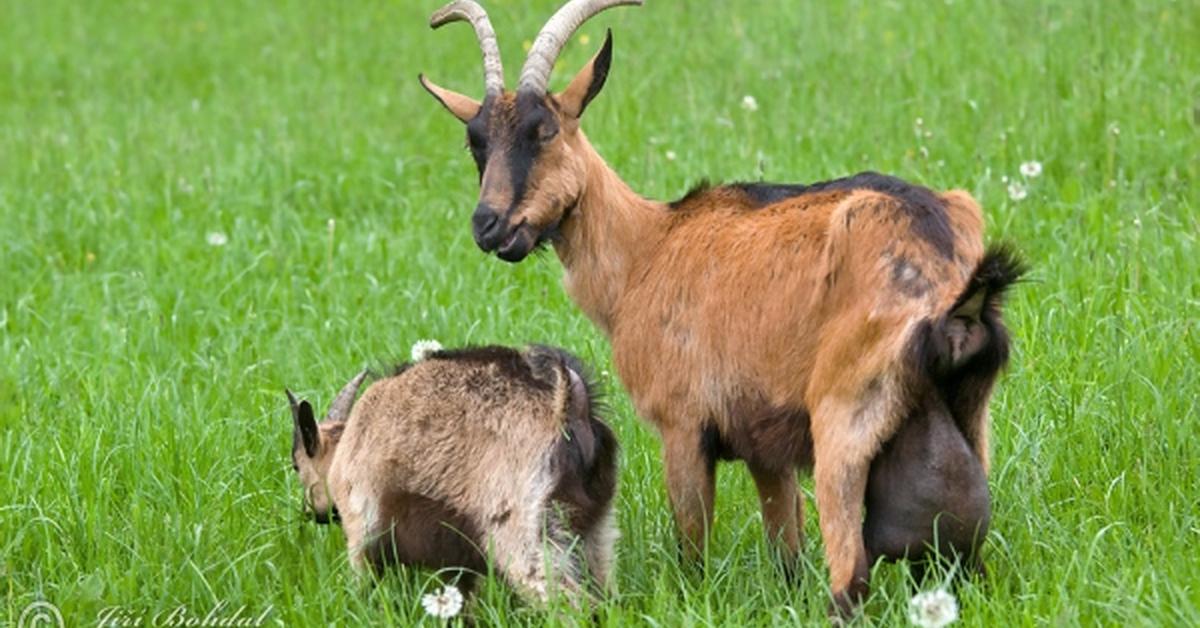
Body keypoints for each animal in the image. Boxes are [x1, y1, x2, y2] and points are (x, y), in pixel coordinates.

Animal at [420, 0, 1022, 614]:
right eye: (475, 141)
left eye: (543, 131)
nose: (489, 226)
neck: (647, 249)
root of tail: (947, 269)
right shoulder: (765, 442)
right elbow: (786, 553)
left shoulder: (682, 423)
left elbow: (692, 545)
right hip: (969, 414)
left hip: (845, 417)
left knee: (849, 578)